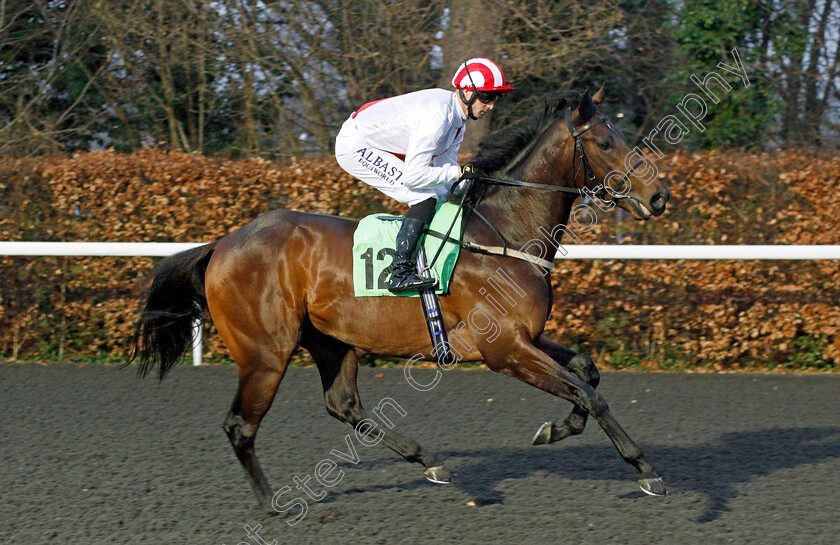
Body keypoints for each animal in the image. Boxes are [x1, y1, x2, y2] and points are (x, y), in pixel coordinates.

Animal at [126, 87, 676, 508]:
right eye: (606, 141)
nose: (659, 197)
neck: (503, 233)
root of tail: (223, 243)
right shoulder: (504, 350)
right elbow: (590, 393)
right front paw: (645, 469)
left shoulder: (525, 337)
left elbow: (586, 372)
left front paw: (556, 430)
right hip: (266, 351)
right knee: (241, 425)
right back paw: (270, 505)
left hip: (331, 340)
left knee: (344, 405)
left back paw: (431, 463)